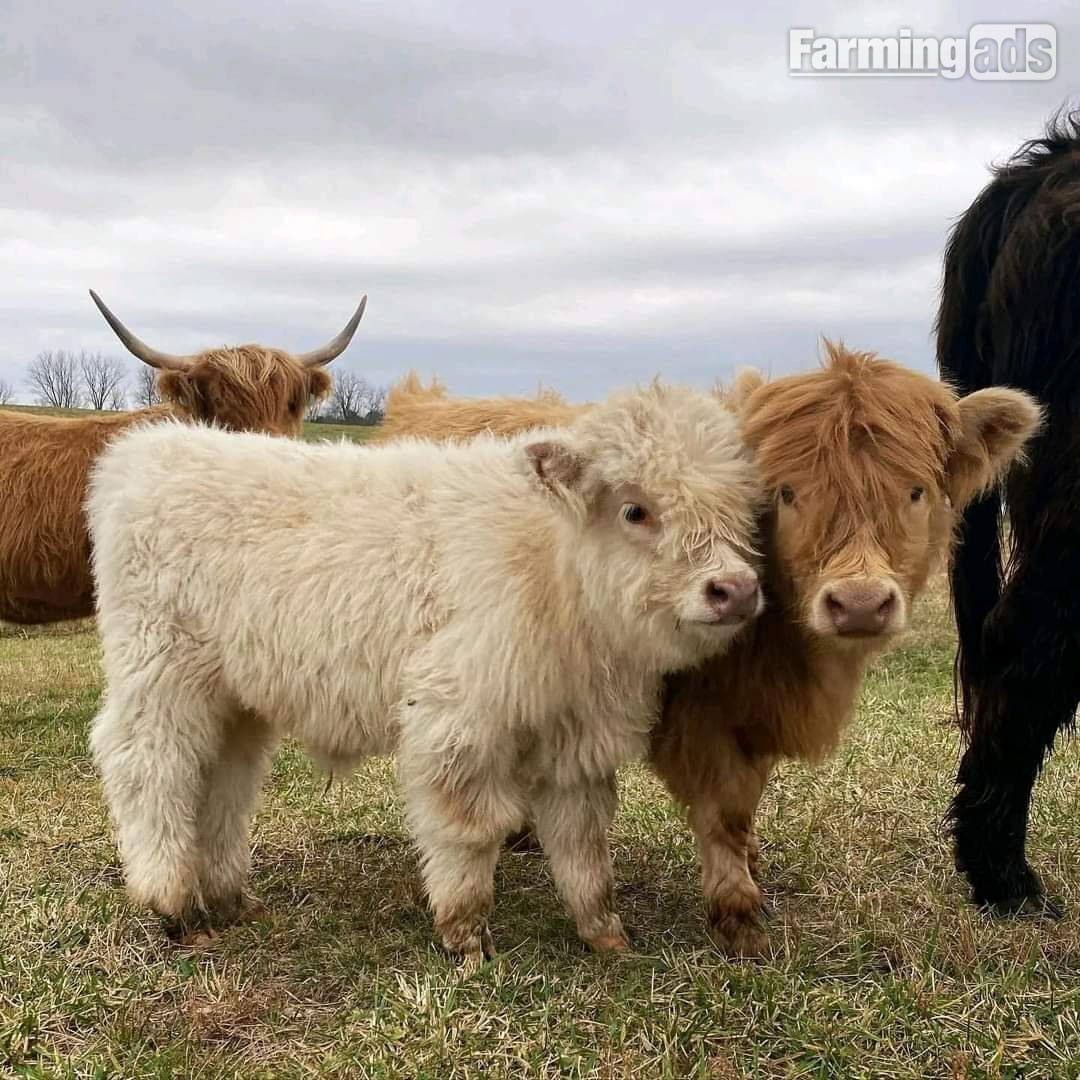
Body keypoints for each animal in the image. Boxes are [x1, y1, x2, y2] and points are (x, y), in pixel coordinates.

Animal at [87, 382, 764, 962]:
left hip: (235, 698)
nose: (735, 589)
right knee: (148, 766)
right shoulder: (457, 722)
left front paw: (606, 936)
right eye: (634, 510)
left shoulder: (577, 738)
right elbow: (470, 833)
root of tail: (150, 451)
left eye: (736, 507)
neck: (551, 563)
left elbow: (584, 846)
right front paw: (466, 940)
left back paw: (229, 898)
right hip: (160, 673)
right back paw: (173, 903)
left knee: (222, 780)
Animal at [379, 345, 1040, 953]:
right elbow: (723, 813)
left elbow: (744, 810)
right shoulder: (704, 722)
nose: (857, 604)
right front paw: (738, 916)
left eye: (916, 491)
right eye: (786, 494)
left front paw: (752, 871)